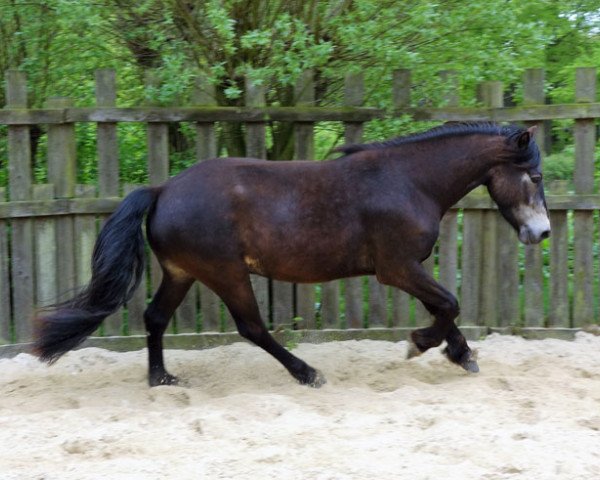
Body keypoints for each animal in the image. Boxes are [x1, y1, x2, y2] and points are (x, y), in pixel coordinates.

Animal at [31, 122, 548, 388]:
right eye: (535, 176)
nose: (540, 232)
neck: (408, 182)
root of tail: (162, 189)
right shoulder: (397, 268)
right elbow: (448, 304)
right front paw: (420, 345)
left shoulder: (408, 268)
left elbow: (444, 307)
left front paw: (460, 355)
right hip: (226, 273)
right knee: (252, 328)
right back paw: (308, 373)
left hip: (182, 272)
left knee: (156, 318)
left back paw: (162, 379)